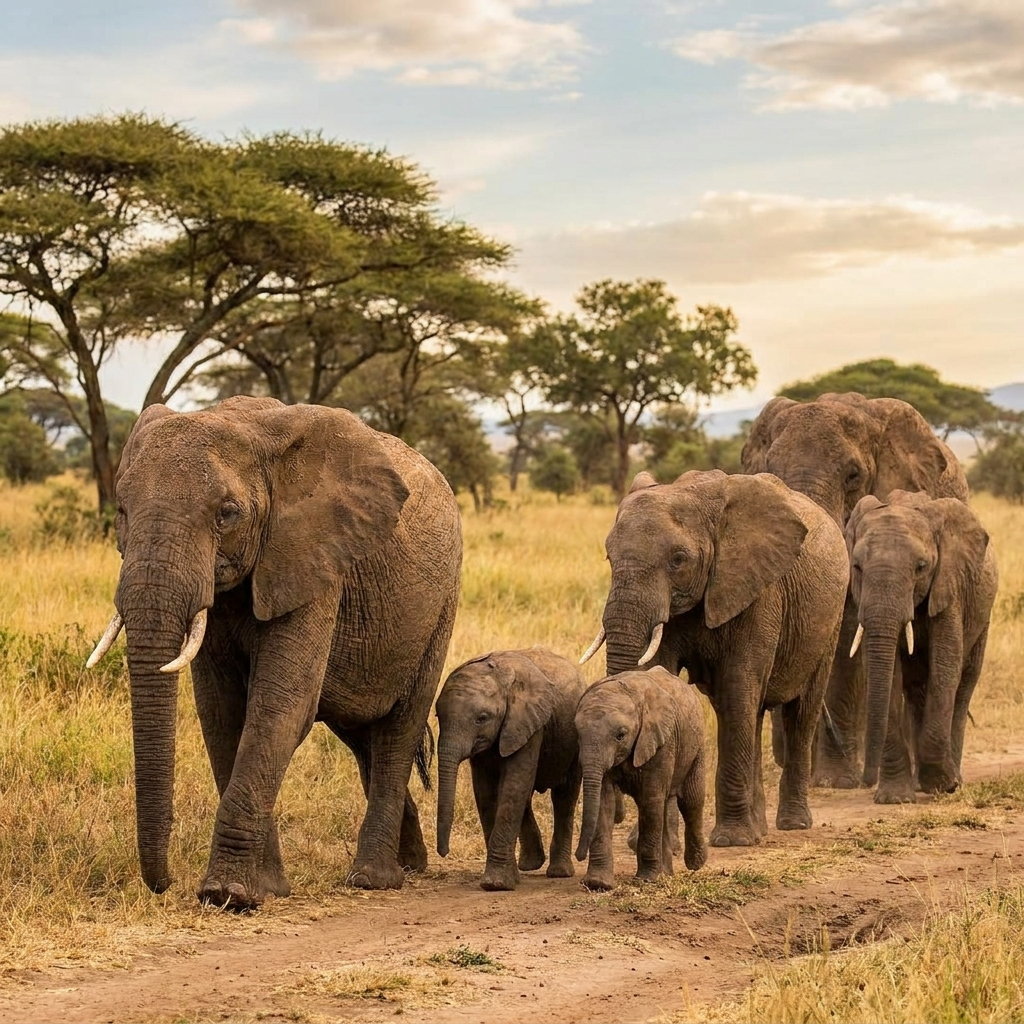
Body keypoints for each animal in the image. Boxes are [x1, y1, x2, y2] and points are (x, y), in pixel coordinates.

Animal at [86, 396, 462, 908]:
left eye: (227, 513)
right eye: (121, 509)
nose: (164, 885)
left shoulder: (314, 559)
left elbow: (280, 706)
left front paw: (228, 895)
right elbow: (221, 713)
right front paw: (266, 889)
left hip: (441, 603)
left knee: (398, 727)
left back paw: (372, 879)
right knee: (362, 734)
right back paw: (411, 864)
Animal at [435, 648, 585, 891]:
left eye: (482, 718)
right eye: (439, 717)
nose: (444, 852)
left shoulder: (527, 722)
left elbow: (514, 784)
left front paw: (496, 885)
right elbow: (486, 792)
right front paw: (504, 880)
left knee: (564, 797)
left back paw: (559, 872)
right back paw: (530, 865)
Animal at [574, 667, 707, 891]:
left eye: (621, 735)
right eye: (577, 733)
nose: (578, 856)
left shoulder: (662, 741)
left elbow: (651, 800)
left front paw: (646, 880)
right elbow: (604, 800)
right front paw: (598, 884)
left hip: (696, 746)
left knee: (691, 800)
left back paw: (695, 864)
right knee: (665, 804)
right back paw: (666, 873)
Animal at [581, 469, 848, 846]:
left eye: (678, 559)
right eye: (608, 557)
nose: (615, 815)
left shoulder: (758, 591)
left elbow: (738, 687)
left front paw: (732, 840)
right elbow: (665, 677)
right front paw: (653, 842)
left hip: (830, 620)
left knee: (799, 711)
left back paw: (792, 823)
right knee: (751, 713)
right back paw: (759, 828)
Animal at [845, 491, 998, 802]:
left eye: (921, 567)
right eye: (857, 567)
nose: (865, 781)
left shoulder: (949, 587)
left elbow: (946, 665)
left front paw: (942, 785)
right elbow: (888, 672)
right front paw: (895, 798)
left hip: (982, 615)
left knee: (963, 687)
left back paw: (953, 779)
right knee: (916, 690)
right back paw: (919, 784)